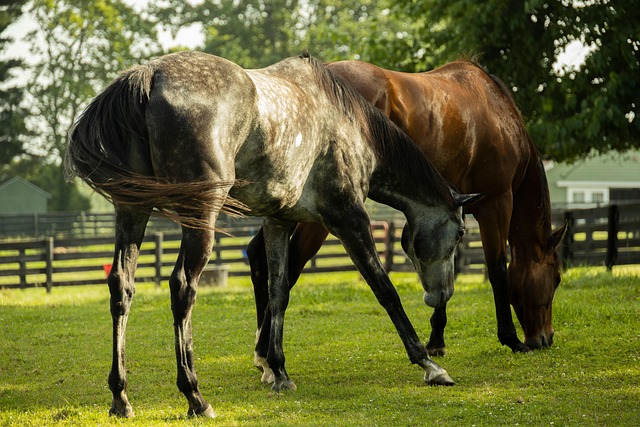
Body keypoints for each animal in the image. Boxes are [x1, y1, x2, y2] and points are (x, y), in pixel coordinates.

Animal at [65, 51, 481, 418]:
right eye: (461, 232)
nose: (441, 295)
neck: (348, 125)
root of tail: (149, 76)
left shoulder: (278, 222)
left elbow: (279, 292)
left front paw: (278, 370)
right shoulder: (349, 219)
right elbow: (385, 289)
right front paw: (428, 363)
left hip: (132, 212)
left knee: (121, 286)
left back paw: (121, 397)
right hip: (199, 217)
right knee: (182, 287)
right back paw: (195, 396)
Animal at [247, 59, 567, 359]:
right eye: (557, 278)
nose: (545, 338)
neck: (498, 112)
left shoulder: (450, 210)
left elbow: (445, 270)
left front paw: (436, 340)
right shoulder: (496, 203)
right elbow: (498, 270)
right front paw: (510, 338)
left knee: (259, 255)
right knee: (290, 267)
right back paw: (266, 351)